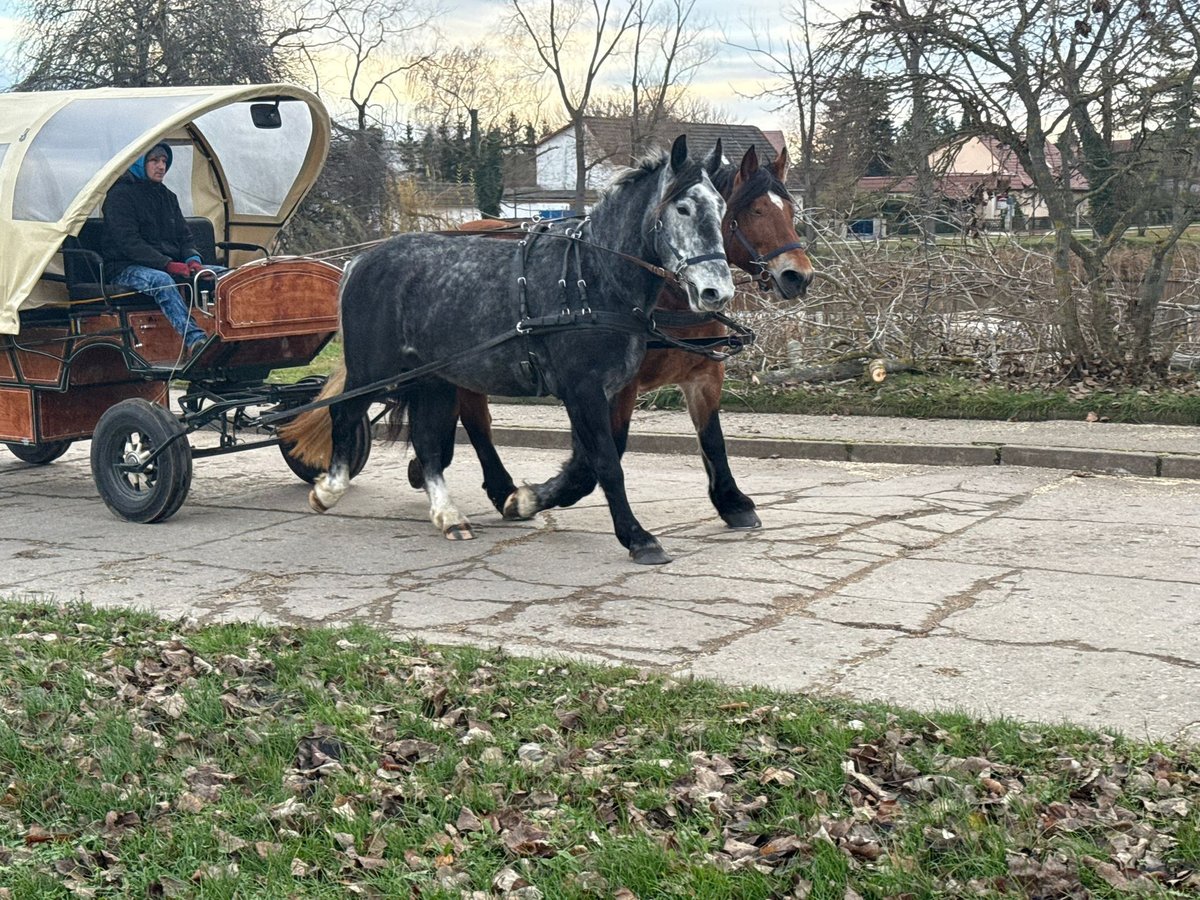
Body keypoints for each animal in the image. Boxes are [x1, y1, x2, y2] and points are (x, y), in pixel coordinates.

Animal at [415, 144, 816, 532]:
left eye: (790, 210)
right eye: (757, 211)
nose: (798, 275)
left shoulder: (703, 375)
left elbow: (712, 439)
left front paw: (732, 501)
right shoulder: (615, 384)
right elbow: (605, 450)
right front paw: (538, 495)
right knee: (477, 421)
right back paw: (498, 488)